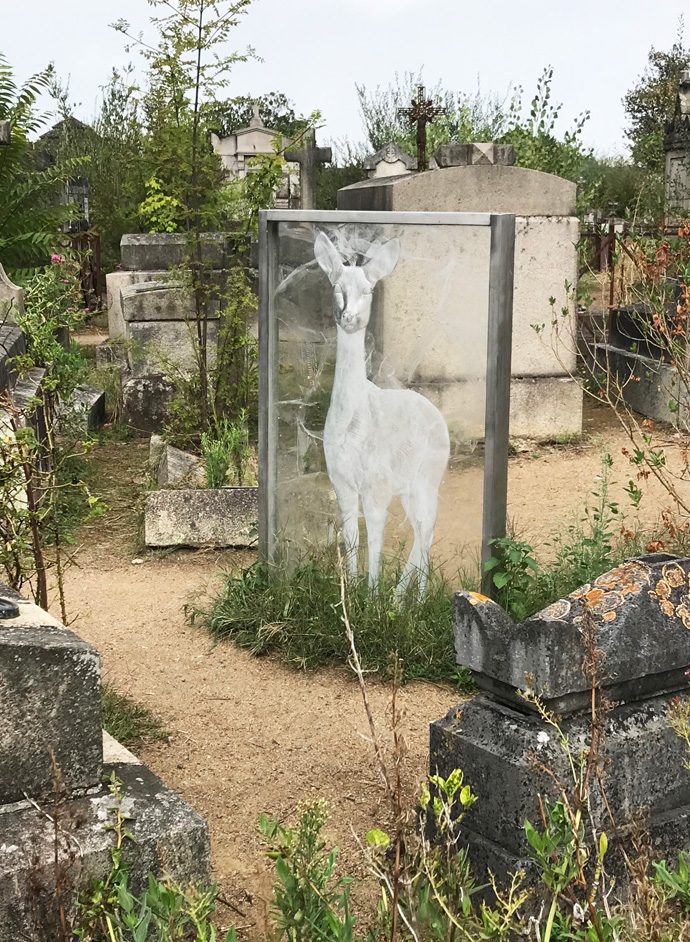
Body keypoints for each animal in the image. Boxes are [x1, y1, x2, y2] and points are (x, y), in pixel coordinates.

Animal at [314, 230, 452, 596]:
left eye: (368, 290)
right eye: (337, 287)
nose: (349, 317)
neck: (352, 424)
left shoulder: (376, 485)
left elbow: (375, 538)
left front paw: (372, 596)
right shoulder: (341, 483)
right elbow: (351, 536)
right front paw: (351, 592)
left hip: (428, 477)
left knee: (427, 529)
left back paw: (414, 600)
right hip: (407, 487)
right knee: (420, 532)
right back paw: (401, 598)